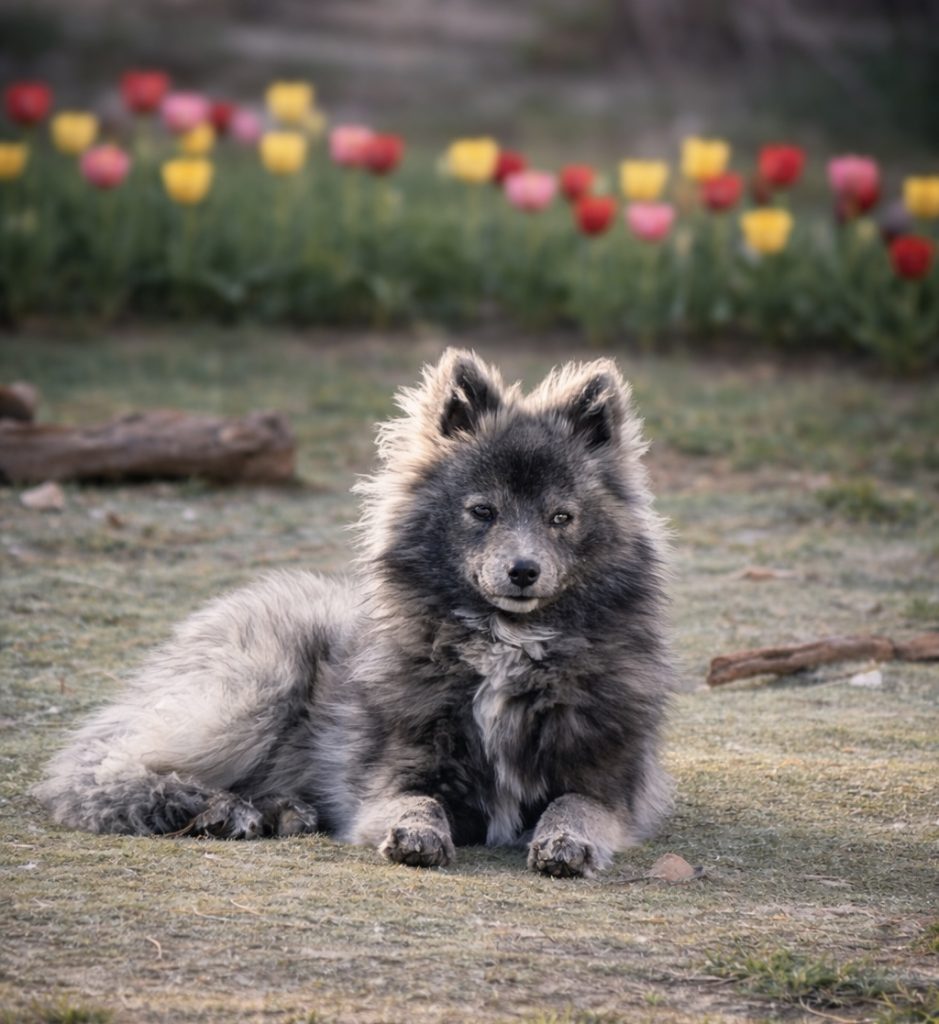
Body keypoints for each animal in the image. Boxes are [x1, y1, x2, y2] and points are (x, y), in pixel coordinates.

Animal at [35, 349, 674, 877]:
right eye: (482, 511)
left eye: (561, 517)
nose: (523, 571)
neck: (507, 649)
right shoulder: (391, 776)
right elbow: (417, 800)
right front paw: (415, 833)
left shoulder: (608, 786)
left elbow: (574, 805)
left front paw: (567, 843)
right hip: (257, 691)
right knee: (101, 771)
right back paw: (219, 808)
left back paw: (279, 811)